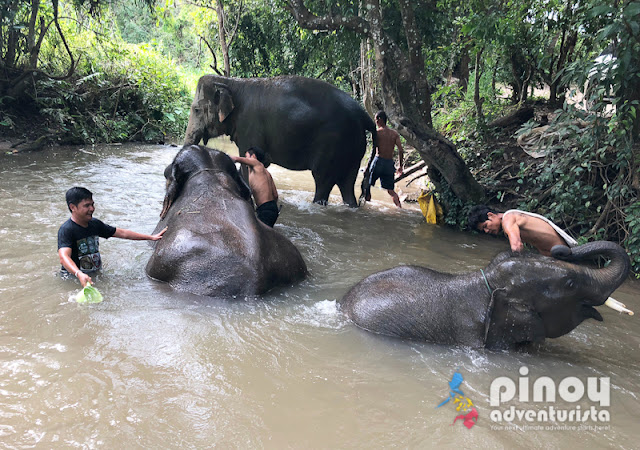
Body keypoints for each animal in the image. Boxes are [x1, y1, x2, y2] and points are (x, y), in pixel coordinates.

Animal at [182, 74, 378, 207]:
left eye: (196, 110)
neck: (232, 82)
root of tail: (364, 116)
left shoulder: (249, 125)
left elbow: (249, 162)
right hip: (355, 148)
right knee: (347, 184)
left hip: (334, 143)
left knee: (323, 180)